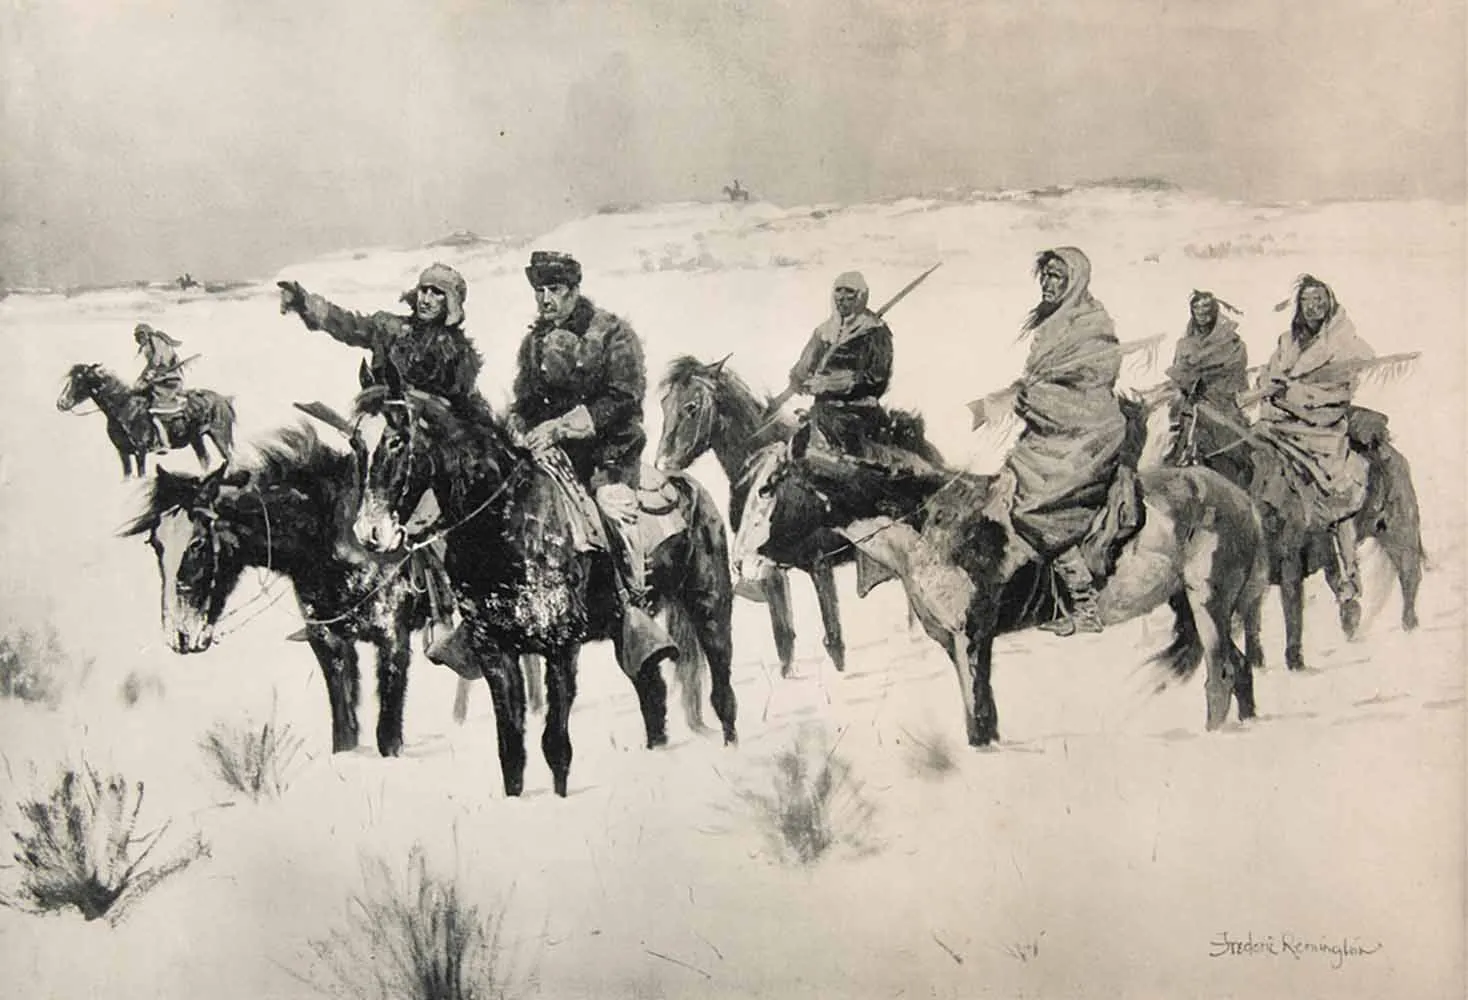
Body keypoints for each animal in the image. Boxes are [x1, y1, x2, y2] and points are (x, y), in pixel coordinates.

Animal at [57, 362, 235, 477]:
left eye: (79, 379)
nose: (61, 403)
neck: (124, 408)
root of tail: (223, 399)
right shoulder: (123, 454)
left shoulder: (140, 452)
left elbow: (141, 475)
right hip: (196, 439)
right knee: (205, 459)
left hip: (219, 436)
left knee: (229, 459)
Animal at [340, 384, 738, 798]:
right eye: (356, 442)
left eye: (397, 440)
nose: (369, 532)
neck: (507, 524)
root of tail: (689, 487)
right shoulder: (494, 651)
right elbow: (511, 746)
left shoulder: (560, 647)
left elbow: (556, 745)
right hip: (626, 632)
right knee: (652, 692)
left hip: (711, 608)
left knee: (722, 690)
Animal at [829, 401, 1267, 745]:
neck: (934, 523)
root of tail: (1243, 501)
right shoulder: (959, 642)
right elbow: (983, 712)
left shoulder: (970, 636)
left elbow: (978, 714)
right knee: (1240, 667)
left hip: (1208, 600)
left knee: (1222, 673)